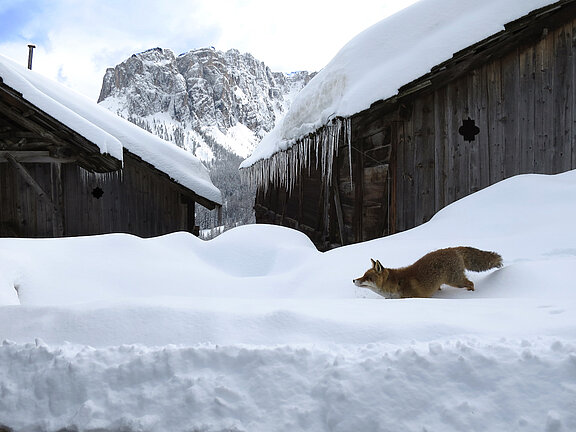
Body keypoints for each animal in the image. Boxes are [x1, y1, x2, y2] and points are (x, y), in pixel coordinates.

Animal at [352, 248, 500, 298]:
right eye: (363, 275)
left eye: (368, 277)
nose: (354, 280)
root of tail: (453, 249)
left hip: (455, 281)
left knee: (471, 283)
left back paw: (469, 294)